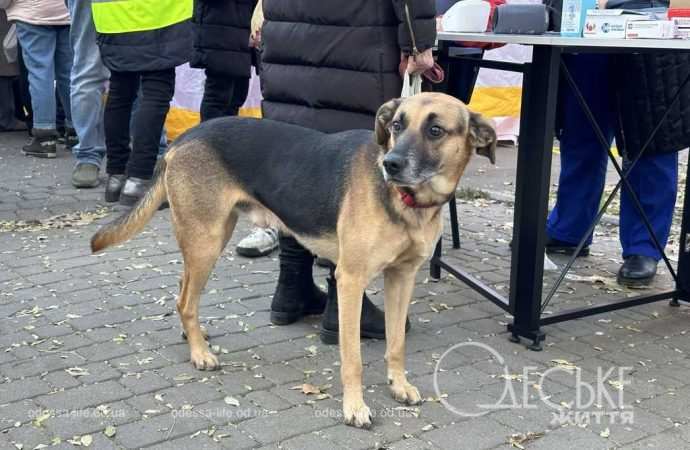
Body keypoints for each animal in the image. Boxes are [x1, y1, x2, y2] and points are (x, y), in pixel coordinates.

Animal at [90, 92, 497, 428]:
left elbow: (396, 344)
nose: (391, 164)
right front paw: (355, 407)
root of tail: (185, 137)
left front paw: (399, 385)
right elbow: (352, 358)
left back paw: (193, 336)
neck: (407, 201)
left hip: (209, 237)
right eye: (397, 125)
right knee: (186, 299)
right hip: (206, 240)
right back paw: (200, 353)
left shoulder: (402, 277)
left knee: (183, 290)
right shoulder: (351, 281)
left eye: (435, 130)